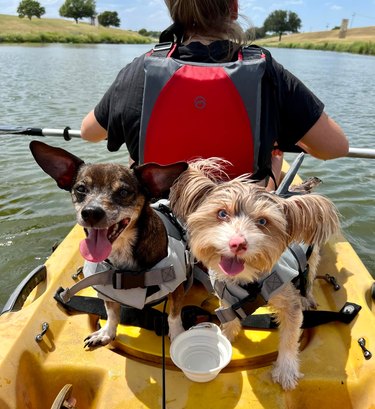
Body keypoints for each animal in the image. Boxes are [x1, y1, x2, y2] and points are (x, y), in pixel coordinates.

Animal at [29, 140, 189, 344]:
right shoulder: (106, 291)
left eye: (124, 192)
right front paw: (107, 333)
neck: (122, 252)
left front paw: (178, 335)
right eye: (81, 189)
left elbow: (174, 316)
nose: (91, 212)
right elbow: (112, 313)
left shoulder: (177, 288)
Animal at [170, 159, 340, 388]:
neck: (246, 280)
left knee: (309, 276)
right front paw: (225, 335)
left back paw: (308, 297)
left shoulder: (288, 301)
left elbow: (290, 335)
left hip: (311, 256)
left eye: (263, 222)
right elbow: (229, 317)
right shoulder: (225, 295)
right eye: (222, 213)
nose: (237, 243)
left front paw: (286, 370)